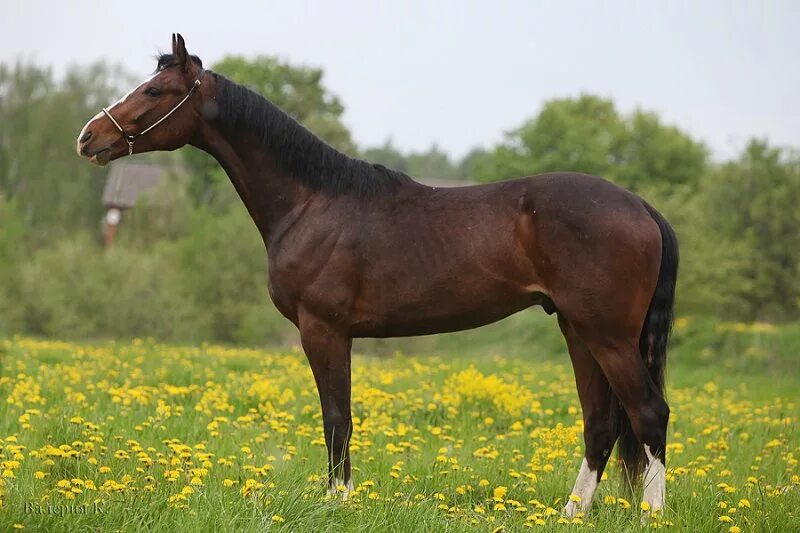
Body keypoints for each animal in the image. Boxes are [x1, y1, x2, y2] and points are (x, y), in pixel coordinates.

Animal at [78, 34, 676, 516]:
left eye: (155, 91)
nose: (88, 138)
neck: (313, 201)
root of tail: (641, 207)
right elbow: (339, 419)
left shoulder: (323, 329)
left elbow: (336, 418)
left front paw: (338, 502)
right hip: (577, 329)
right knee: (601, 423)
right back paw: (572, 513)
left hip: (606, 335)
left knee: (649, 413)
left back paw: (651, 514)